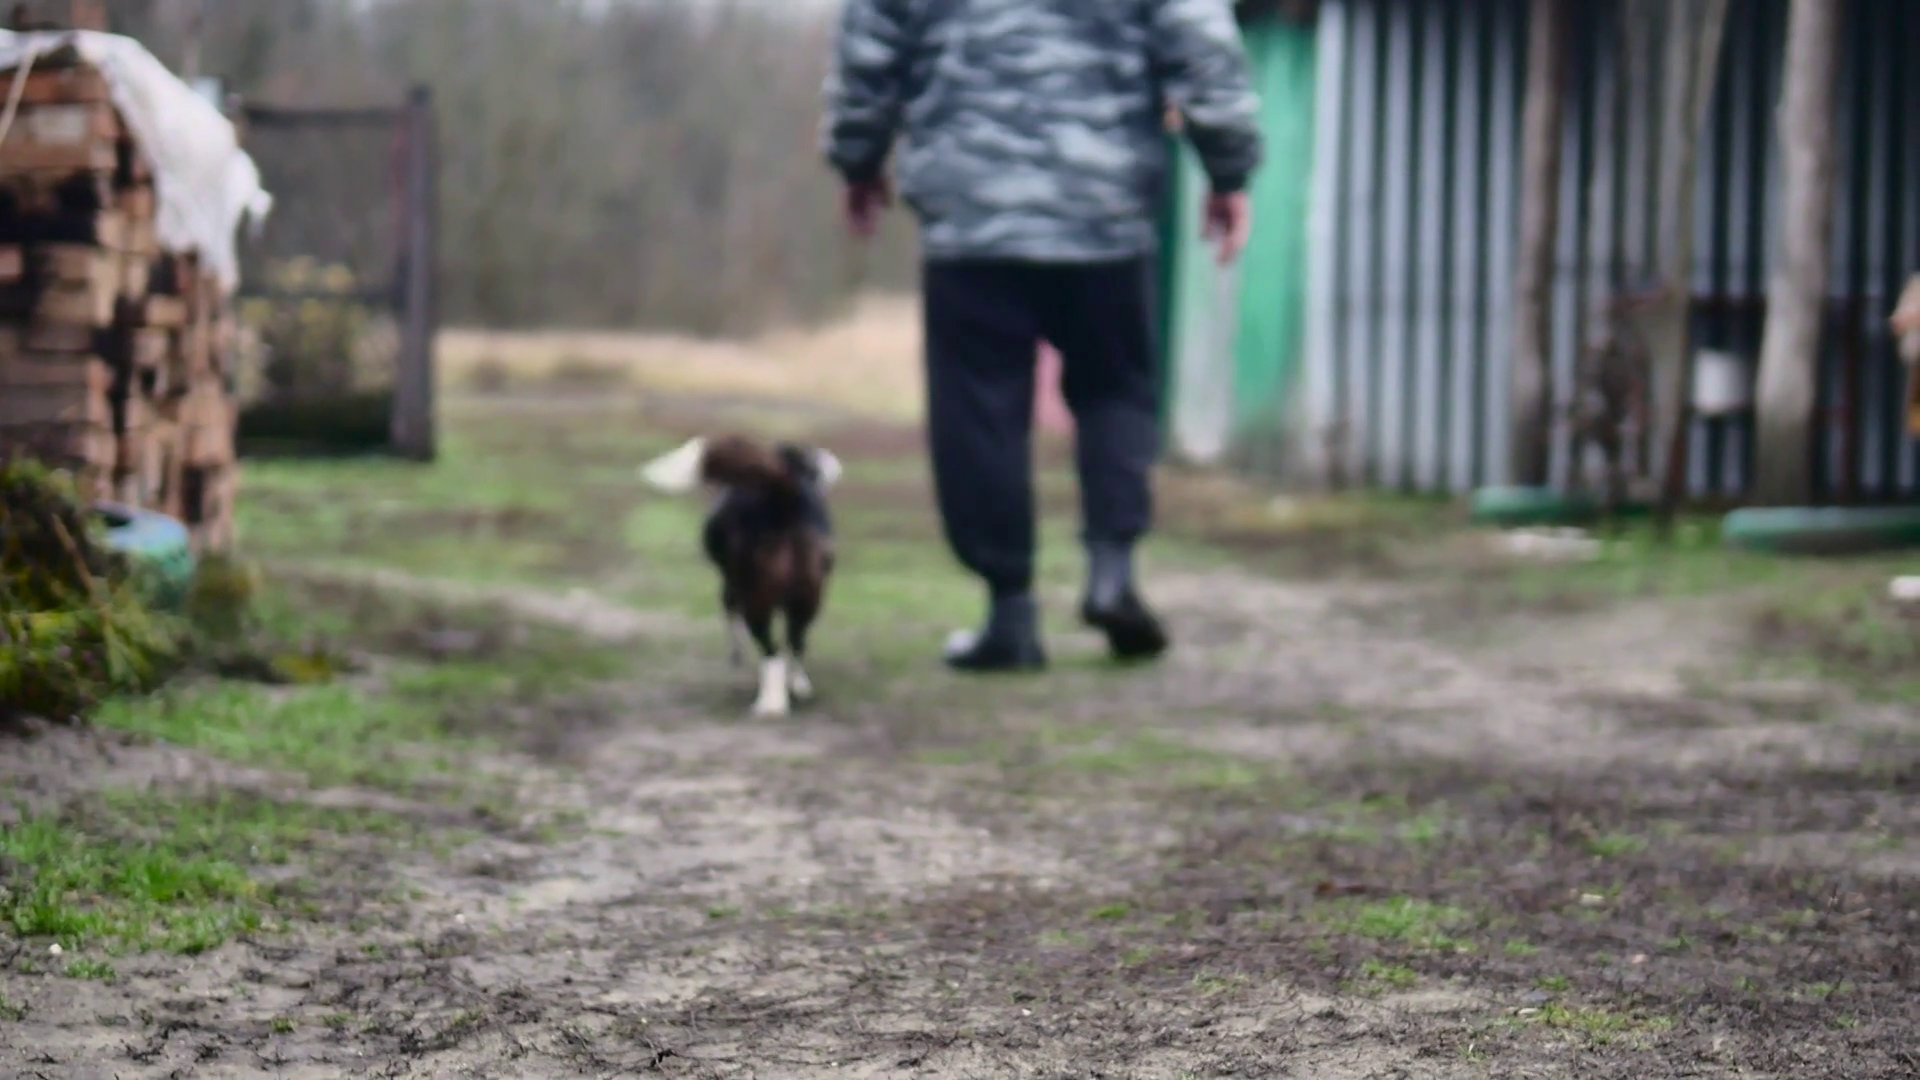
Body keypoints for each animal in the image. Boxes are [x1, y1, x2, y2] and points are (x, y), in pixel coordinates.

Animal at [639, 434, 841, 717]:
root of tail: (784, 493)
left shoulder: (731, 589)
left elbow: (735, 633)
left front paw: (737, 667)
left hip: (756, 598)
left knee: (771, 650)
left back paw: (770, 704)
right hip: (808, 597)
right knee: (795, 642)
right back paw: (798, 686)